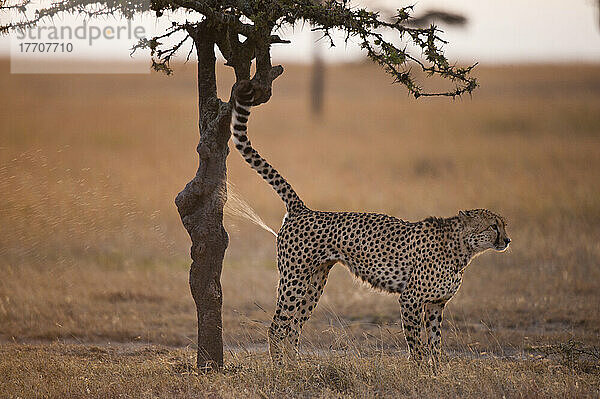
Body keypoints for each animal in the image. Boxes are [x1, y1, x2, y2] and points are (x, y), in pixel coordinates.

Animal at [230, 80, 510, 366]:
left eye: (504, 225)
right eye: (493, 226)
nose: (507, 240)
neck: (461, 249)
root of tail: (303, 209)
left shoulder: (436, 304)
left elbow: (436, 345)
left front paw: (438, 372)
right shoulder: (410, 298)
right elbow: (417, 346)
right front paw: (421, 372)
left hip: (315, 281)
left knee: (294, 325)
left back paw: (296, 365)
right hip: (294, 278)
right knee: (277, 326)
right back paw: (280, 368)